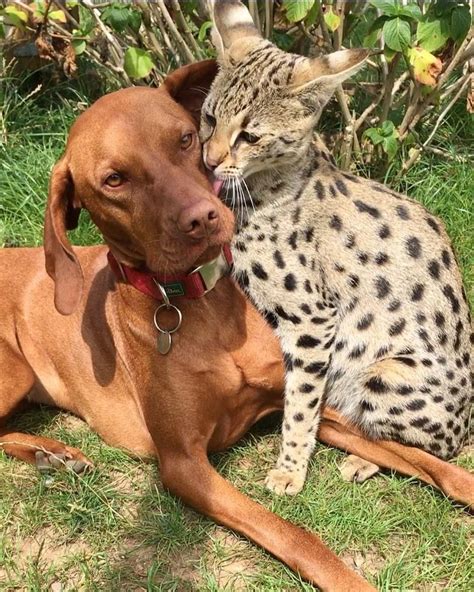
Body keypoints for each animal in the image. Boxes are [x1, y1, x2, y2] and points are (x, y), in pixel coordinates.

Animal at [0, 61, 472, 592]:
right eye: (114, 179)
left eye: (186, 138)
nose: (204, 217)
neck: (204, 306)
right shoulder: (184, 464)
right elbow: (294, 534)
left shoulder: (304, 403)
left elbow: (425, 462)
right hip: (13, 370)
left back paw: (52, 455)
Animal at [199, 0, 470, 494]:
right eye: (210, 118)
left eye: (250, 136)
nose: (209, 161)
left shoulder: (313, 317)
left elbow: (301, 401)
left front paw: (290, 469)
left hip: (384, 375)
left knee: (437, 448)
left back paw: (365, 458)